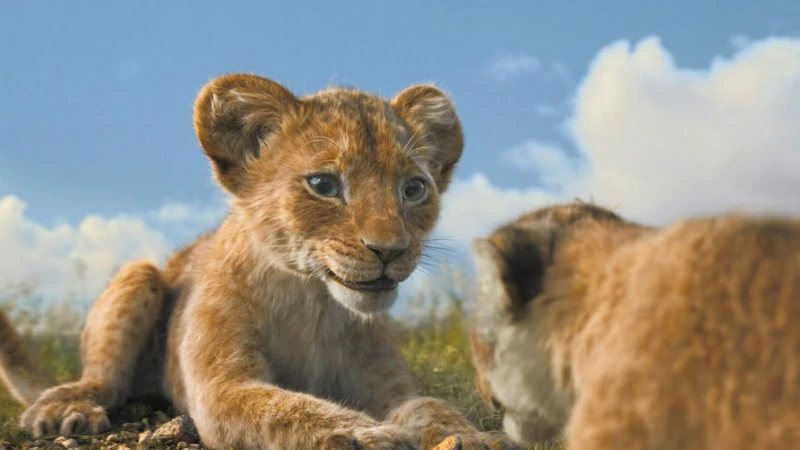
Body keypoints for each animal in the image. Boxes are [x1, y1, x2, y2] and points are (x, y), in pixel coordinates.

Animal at [0, 73, 518, 450]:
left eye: (413, 189)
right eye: (324, 185)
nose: (389, 250)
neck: (314, 302)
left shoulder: (389, 385)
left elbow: (430, 405)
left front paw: (474, 436)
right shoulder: (221, 386)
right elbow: (286, 409)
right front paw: (367, 435)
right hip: (138, 275)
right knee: (101, 382)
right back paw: (66, 409)